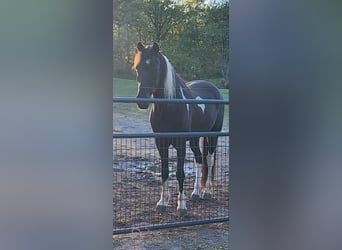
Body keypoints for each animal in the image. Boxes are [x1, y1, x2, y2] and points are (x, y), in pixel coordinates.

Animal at [133, 42, 224, 216]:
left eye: (154, 67)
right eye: (137, 68)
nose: (142, 102)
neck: (170, 107)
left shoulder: (180, 143)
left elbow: (180, 173)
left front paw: (181, 206)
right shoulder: (161, 143)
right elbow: (164, 171)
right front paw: (162, 202)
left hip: (212, 136)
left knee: (209, 160)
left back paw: (207, 192)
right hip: (195, 139)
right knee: (199, 159)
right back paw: (196, 193)